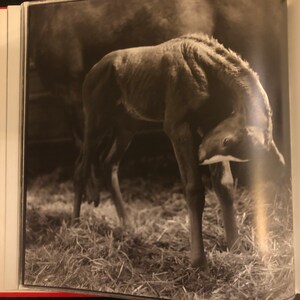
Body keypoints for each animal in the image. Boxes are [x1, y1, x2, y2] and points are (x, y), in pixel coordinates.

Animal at [74, 34, 284, 268]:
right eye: (228, 140)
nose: (200, 155)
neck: (203, 67)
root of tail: (93, 70)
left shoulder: (209, 124)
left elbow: (225, 185)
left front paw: (236, 247)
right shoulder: (177, 126)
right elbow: (194, 189)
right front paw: (198, 260)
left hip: (127, 125)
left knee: (108, 162)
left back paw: (127, 224)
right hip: (96, 120)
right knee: (82, 166)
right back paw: (76, 223)